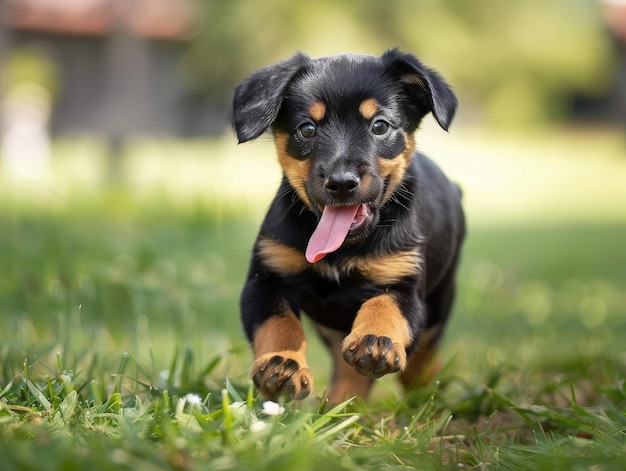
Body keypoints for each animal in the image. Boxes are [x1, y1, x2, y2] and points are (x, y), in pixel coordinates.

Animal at [232, 48, 460, 406]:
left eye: (380, 126)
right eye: (307, 129)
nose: (341, 183)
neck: (344, 249)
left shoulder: (403, 283)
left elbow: (383, 305)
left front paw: (376, 341)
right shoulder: (265, 280)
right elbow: (279, 324)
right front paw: (282, 364)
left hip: (441, 298)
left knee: (425, 351)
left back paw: (423, 388)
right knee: (348, 371)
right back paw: (342, 404)